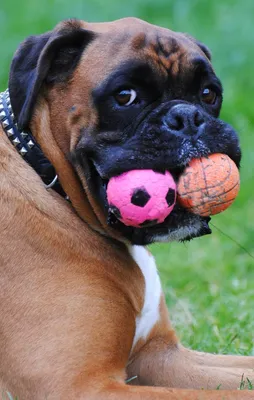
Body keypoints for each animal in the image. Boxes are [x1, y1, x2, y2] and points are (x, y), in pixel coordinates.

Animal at [0, 18, 253, 400]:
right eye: (125, 97)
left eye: (209, 94)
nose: (187, 116)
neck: (49, 177)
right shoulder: (81, 386)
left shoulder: (160, 355)